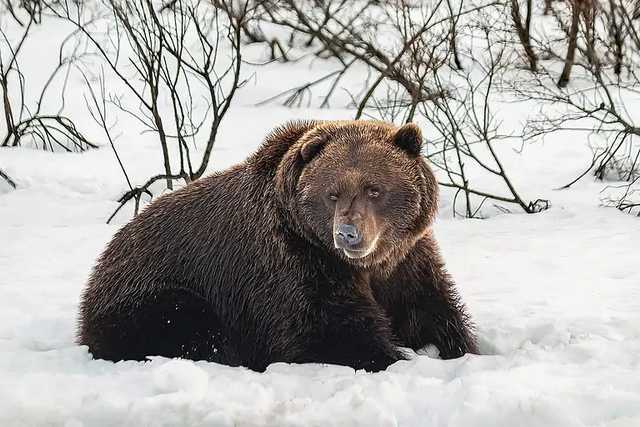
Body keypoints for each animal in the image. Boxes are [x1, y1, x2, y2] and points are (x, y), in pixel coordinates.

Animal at [77, 119, 478, 372]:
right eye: (332, 193)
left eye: (374, 189)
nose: (348, 233)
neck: (364, 266)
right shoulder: (295, 263)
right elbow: (327, 331)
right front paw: (391, 356)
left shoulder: (406, 261)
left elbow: (432, 310)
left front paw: (460, 349)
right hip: (154, 293)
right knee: (187, 322)